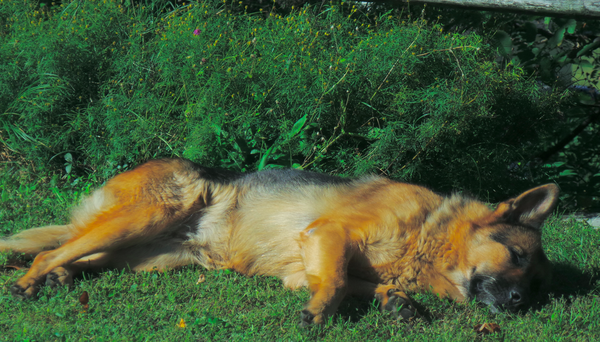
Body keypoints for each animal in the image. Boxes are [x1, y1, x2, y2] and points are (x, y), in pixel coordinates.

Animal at [2, 159, 560, 324]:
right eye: (514, 255)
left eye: (537, 286)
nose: (518, 302)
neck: (426, 235)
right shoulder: (328, 234)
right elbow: (334, 283)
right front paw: (317, 315)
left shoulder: (301, 269)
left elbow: (351, 283)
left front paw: (395, 301)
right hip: (150, 214)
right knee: (53, 248)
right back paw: (32, 280)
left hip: (149, 258)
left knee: (77, 256)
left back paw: (57, 277)